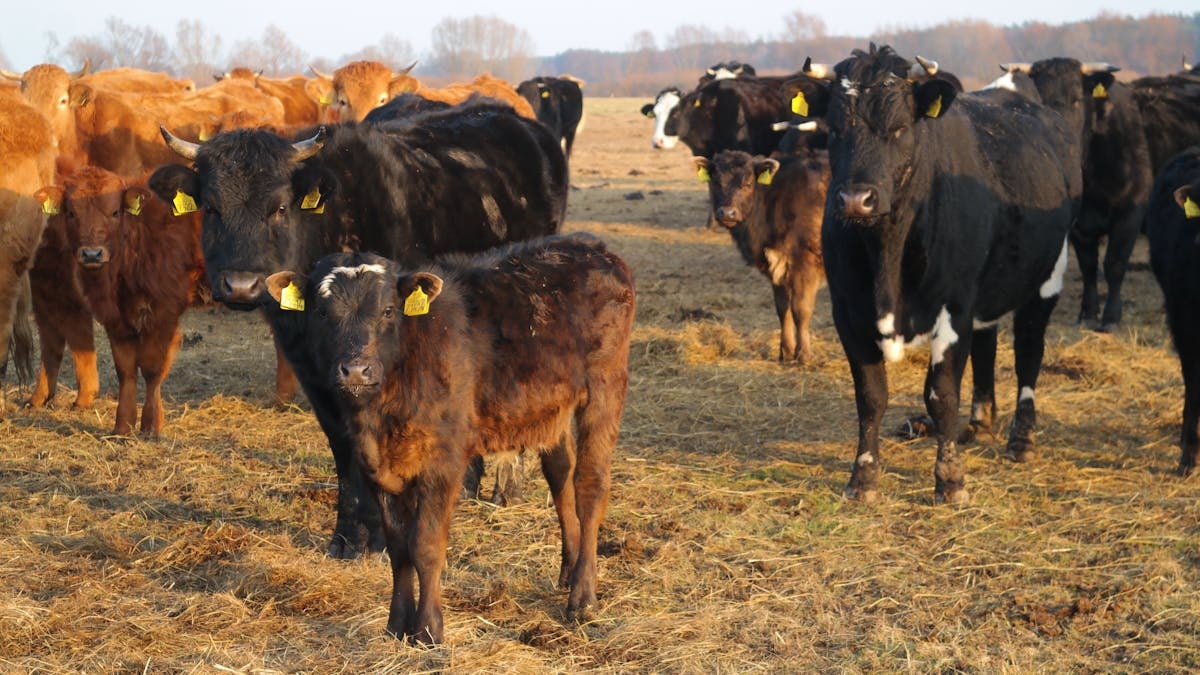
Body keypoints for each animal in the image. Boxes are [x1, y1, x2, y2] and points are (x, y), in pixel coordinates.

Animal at [40, 166, 203, 435]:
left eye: (115, 212)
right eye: (71, 212)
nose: (92, 254)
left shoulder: (164, 312)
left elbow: (152, 368)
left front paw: (151, 425)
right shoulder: (115, 318)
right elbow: (125, 369)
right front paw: (122, 426)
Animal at [148, 98, 569, 558]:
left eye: (279, 208)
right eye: (211, 208)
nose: (241, 285)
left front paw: (381, 537)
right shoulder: (314, 371)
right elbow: (342, 446)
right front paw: (347, 537)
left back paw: (507, 486)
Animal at [264, 232, 635, 644]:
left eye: (388, 311)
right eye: (322, 313)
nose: (356, 370)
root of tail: (591, 246)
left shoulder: (444, 461)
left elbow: (425, 545)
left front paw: (428, 628)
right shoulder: (379, 468)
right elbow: (399, 547)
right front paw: (396, 624)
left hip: (605, 387)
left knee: (590, 486)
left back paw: (583, 597)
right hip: (552, 405)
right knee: (561, 474)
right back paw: (568, 573)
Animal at [693, 149, 828, 363]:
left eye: (748, 184)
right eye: (716, 182)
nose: (727, 213)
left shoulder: (804, 264)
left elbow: (800, 309)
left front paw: (803, 355)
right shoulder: (777, 268)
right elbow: (782, 308)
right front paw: (786, 352)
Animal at [786, 44, 1080, 504]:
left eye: (900, 127)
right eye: (833, 129)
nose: (855, 199)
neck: (887, 251)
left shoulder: (954, 308)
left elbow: (940, 395)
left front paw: (950, 480)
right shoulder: (848, 312)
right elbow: (871, 396)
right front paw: (862, 479)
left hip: (1049, 274)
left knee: (1029, 350)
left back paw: (1021, 439)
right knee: (988, 344)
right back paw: (978, 424)